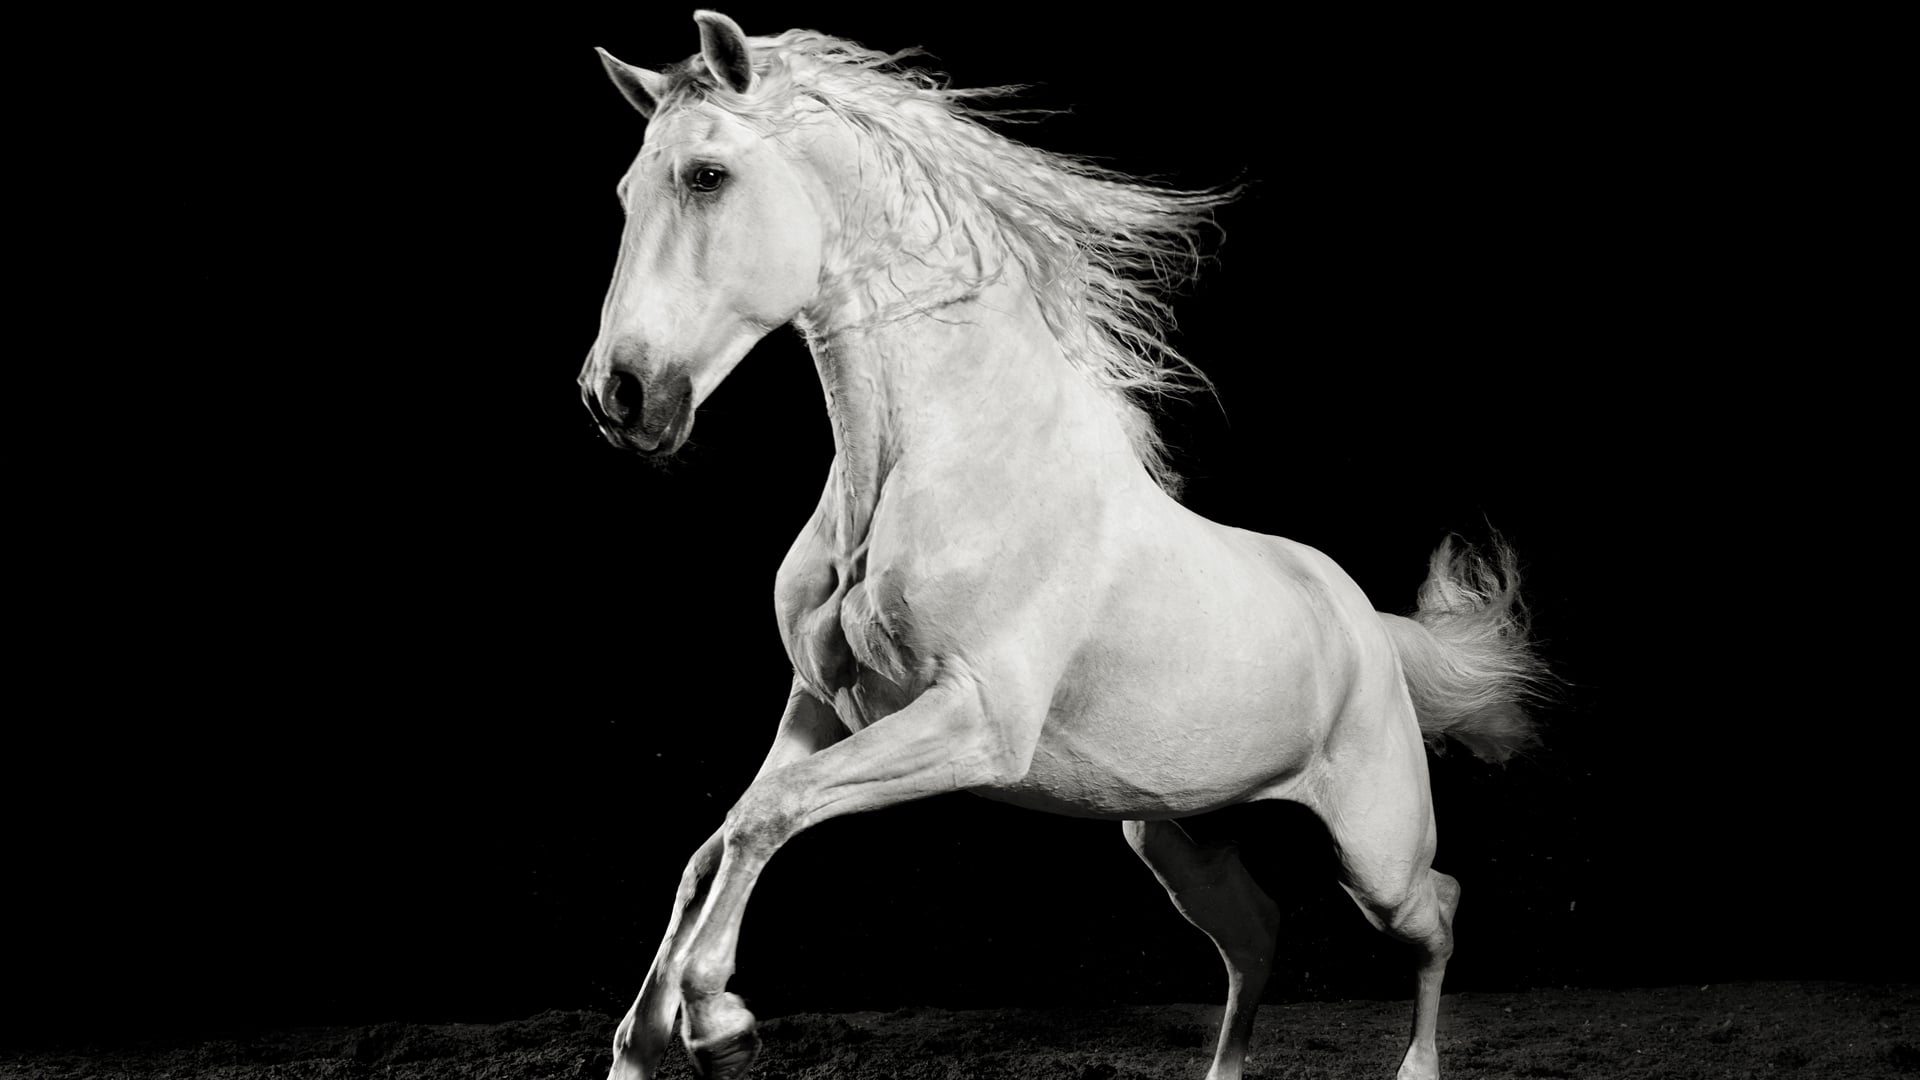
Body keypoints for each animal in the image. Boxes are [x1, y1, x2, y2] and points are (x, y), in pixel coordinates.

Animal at [576, 12, 1548, 1079]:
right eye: (625, 191)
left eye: (706, 176)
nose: (618, 395)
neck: (943, 469)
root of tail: (1367, 623)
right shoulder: (821, 708)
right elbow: (713, 843)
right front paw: (643, 1039)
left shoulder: (975, 722)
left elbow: (765, 814)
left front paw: (717, 1021)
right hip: (1173, 835)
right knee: (1256, 934)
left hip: (1376, 849)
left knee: (1436, 910)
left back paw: (1418, 1066)